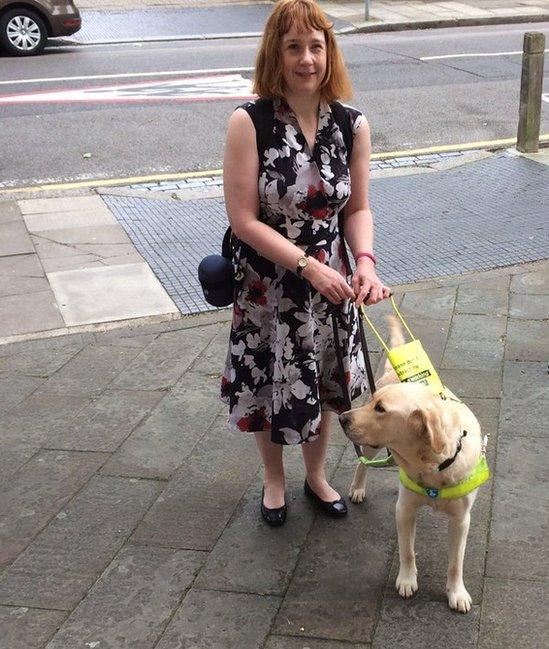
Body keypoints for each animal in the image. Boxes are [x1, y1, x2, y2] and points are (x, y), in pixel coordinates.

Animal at [338, 318, 488, 612]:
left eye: (381, 409)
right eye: (373, 402)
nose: (342, 418)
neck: (433, 466)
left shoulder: (461, 520)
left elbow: (456, 562)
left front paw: (457, 592)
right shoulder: (405, 509)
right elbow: (406, 550)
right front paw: (407, 580)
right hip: (371, 446)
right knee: (363, 463)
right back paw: (358, 488)